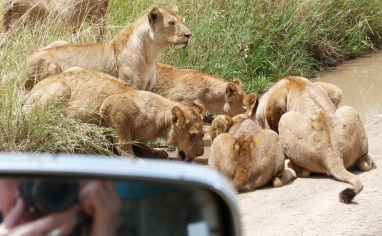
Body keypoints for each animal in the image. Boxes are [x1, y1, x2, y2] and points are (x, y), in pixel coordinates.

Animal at [22, 68, 204, 160]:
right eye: (192, 136)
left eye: (203, 135)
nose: (201, 153)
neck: (160, 124)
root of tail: (30, 92)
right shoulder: (113, 106)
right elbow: (124, 141)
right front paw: (132, 159)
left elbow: (138, 142)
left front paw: (156, 151)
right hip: (60, 88)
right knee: (38, 116)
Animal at [23, 6, 191, 91]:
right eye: (172, 23)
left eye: (181, 20)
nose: (189, 35)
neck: (151, 54)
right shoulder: (132, 85)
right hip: (50, 65)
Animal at [254, 75, 374, 203]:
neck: (291, 81)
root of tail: (334, 156)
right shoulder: (332, 90)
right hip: (350, 110)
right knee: (364, 163)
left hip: (286, 118)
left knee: (304, 172)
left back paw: (290, 167)